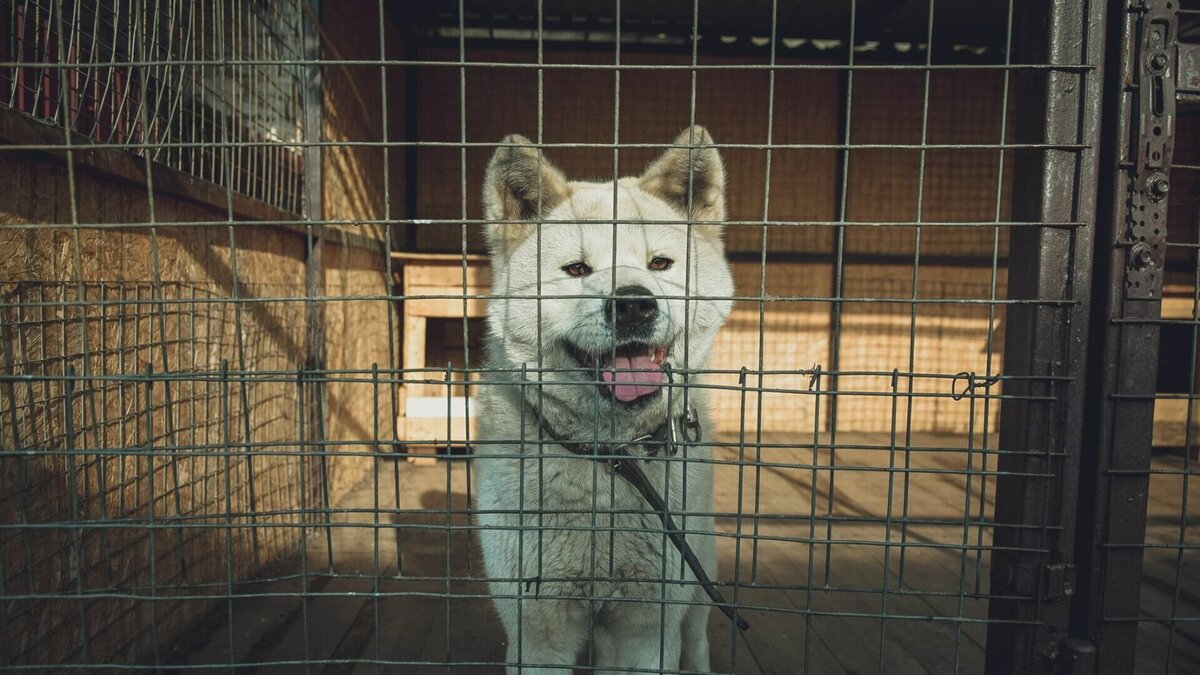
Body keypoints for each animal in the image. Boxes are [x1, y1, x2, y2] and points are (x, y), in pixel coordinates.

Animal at [472, 127, 734, 672]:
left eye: (660, 263)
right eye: (576, 269)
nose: (633, 303)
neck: (611, 458)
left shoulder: (648, 624)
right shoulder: (537, 628)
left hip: (699, 571)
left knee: (698, 635)